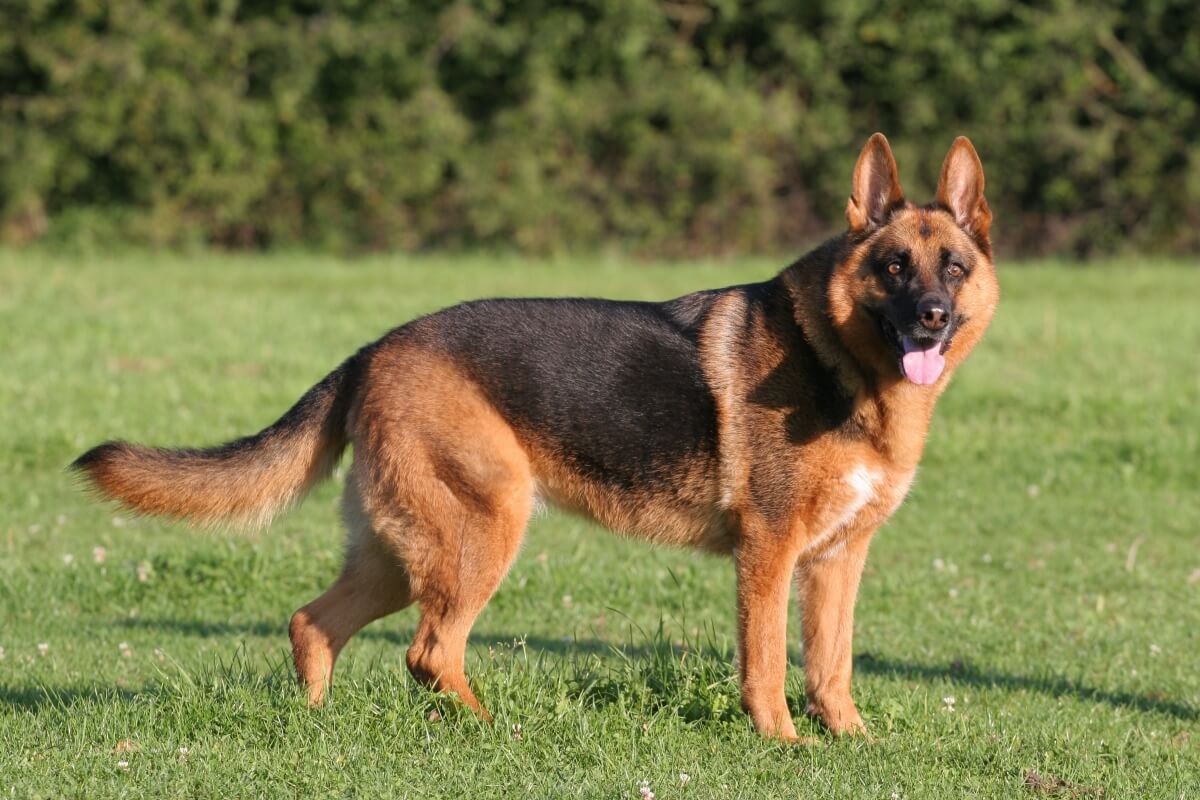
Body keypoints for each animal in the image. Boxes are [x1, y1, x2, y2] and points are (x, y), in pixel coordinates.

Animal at [70, 134, 998, 743]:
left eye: (952, 268)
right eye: (892, 268)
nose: (932, 317)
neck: (842, 360)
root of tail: (374, 349)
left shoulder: (838, 560)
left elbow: (831, 666)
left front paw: (850, 741)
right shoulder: (768, 554)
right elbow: (769, 664)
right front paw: (781, 744)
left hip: (400, 555)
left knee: (314, 625)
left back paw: (317, 725)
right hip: (481, 534)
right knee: (429, 652)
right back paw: (491, 729)